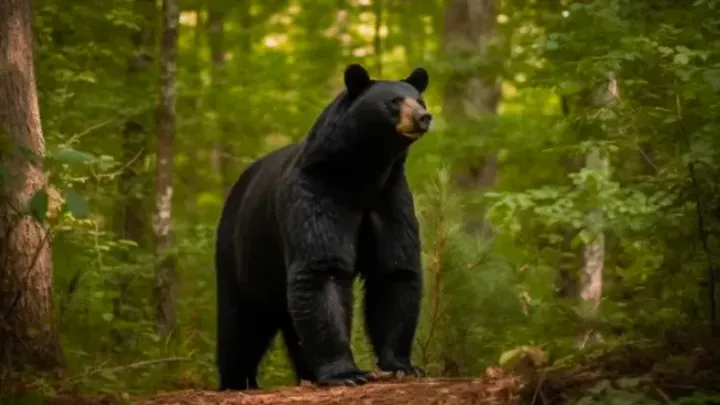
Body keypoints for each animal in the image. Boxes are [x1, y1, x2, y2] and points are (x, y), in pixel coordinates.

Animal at [214, 63, 433, 391]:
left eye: (419, 100)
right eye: (394, 101)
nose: (423, 117)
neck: (364, 174)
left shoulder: (390, 199)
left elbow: (395, 272)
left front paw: (402, 365)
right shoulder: (317, 192)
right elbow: (322, 269)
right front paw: (346, 373)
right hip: (243, 253)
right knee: (240, 323)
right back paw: (238, 380)